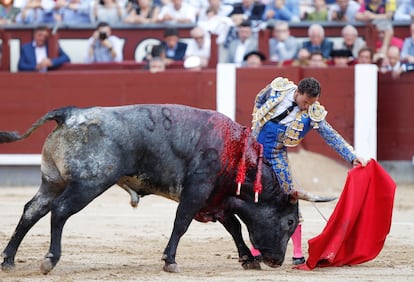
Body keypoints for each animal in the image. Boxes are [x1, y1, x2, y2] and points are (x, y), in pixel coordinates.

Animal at [0, 103, 320, 274]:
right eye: (289, 221)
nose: (277, 261)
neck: (237, 155)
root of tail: (71, 113)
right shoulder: (198, 190)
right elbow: (182, 223)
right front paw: (170, 261)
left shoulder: (216, 199)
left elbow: (234, 227)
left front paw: (247, 259)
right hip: (89, 184)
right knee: (60, 210)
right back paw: (49, 260)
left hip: (52, 181)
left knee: (32, 211)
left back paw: (8, 260)